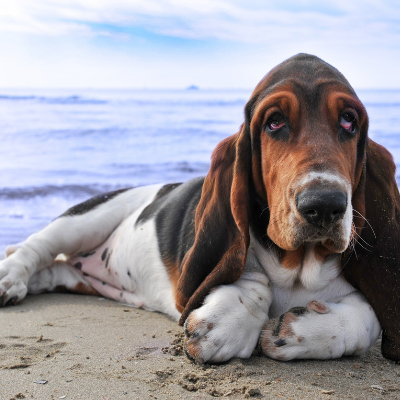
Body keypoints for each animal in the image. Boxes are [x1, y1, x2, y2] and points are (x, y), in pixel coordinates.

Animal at [0, 54, 400, 364]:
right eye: (274, 122)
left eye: (349, 120)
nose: (324, 205)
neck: (298, 269)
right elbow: (251, 277)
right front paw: (226, 324)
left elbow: (371, 317)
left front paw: (300, 331)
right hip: (87, 218)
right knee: (37, 247)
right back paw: (9, 279)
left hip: (77, 275)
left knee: (54, 271)